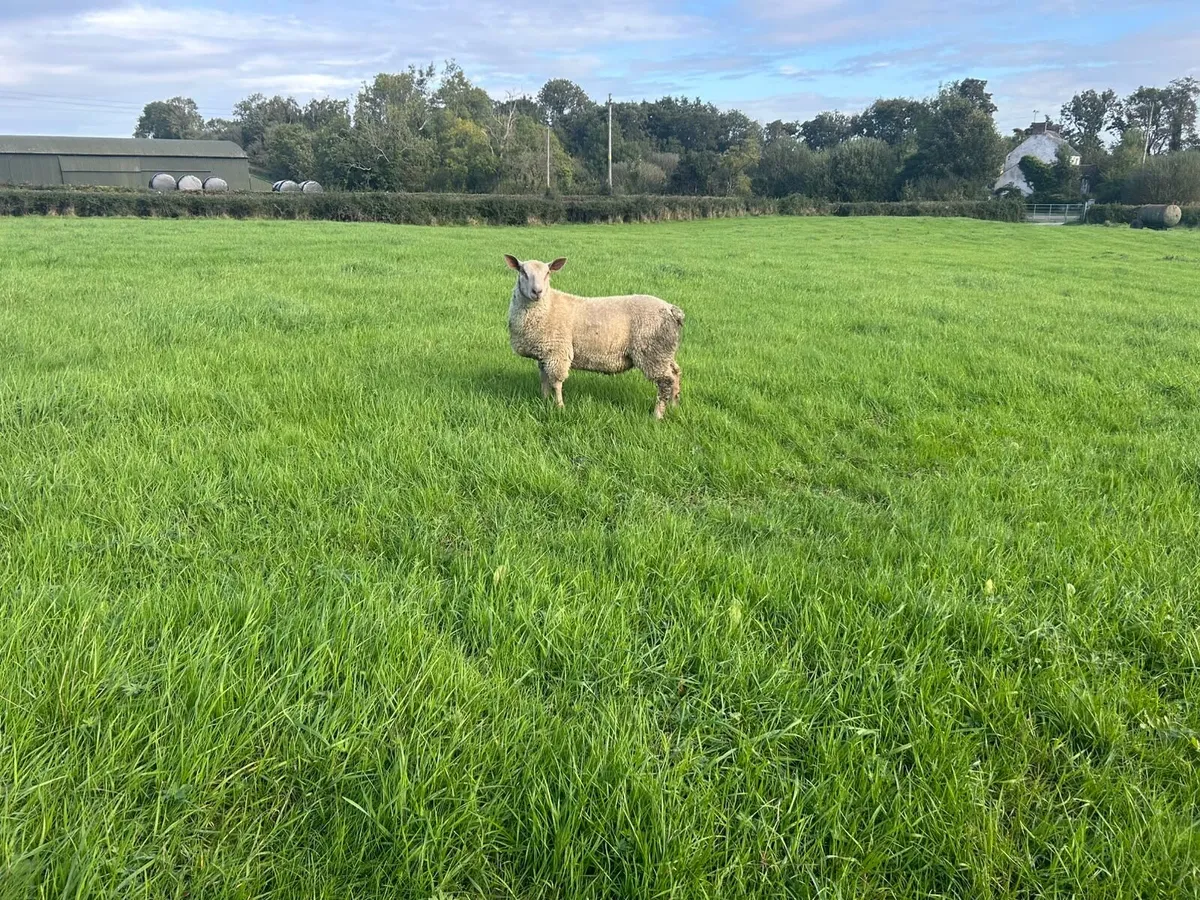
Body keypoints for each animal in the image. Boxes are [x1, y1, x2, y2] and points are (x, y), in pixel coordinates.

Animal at [505, 255, 684, 418]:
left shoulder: (557, 353)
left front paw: (560, 407)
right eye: (522, 272)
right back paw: (674, 405)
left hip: (652, 353)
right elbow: (543, 380)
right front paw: (544, 400)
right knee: (675, 373)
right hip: (664, 352)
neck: (548, 306)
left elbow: (556, 383)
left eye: (548, 273)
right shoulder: (544, 354)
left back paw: (657, 415)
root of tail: (672, 310)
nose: (537, 292)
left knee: (665, 382)